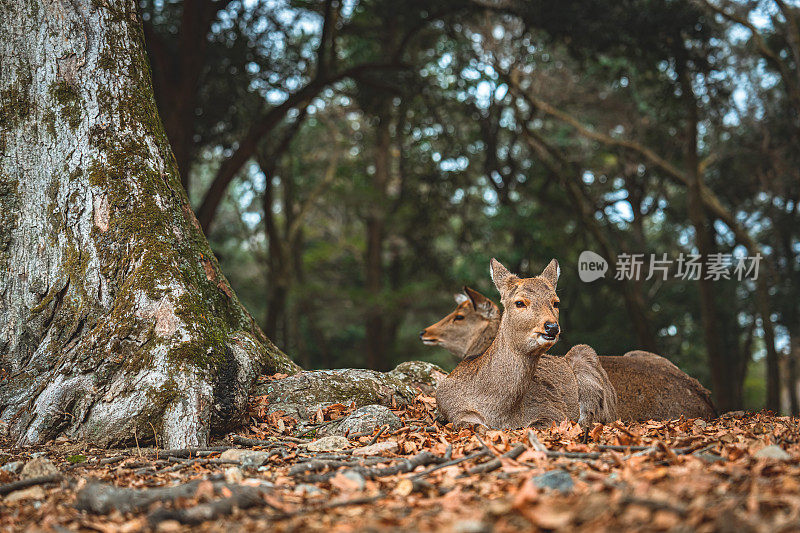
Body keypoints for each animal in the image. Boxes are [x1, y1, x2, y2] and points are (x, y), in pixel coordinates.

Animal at [434, 258, 616, 428]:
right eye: (519, 302)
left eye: (556, 302)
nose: (552, 327)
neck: (500, 413)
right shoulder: (451, 408)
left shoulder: (552, 411)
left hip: (586, 356)